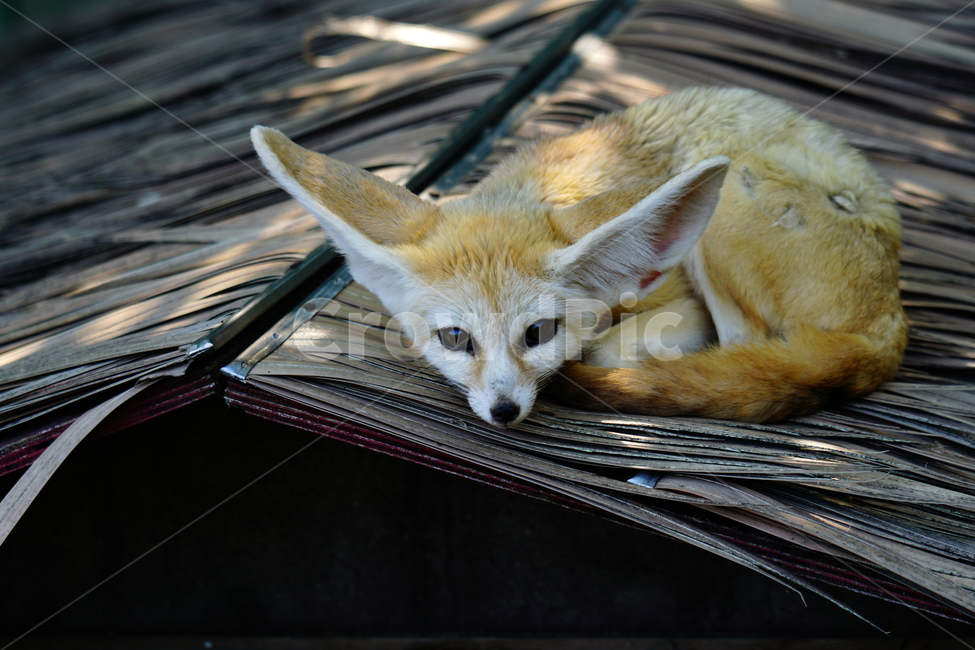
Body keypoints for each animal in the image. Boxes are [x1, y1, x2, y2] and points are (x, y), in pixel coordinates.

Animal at [251, 86, 908, 428]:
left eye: (539, 332)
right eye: (456, 339)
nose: (505, 410)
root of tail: (892, 318)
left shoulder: (680, 305)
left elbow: (604, 347)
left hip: (722, 210)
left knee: (744, 348)